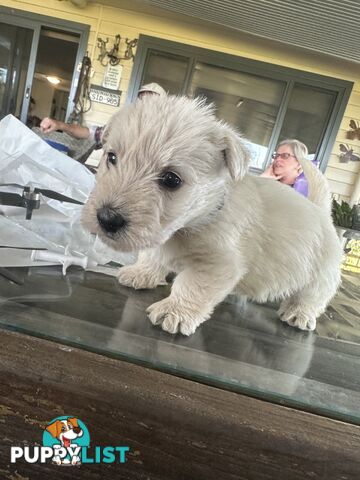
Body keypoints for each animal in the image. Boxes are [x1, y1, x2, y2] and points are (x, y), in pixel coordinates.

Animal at [82, 93, 344, 334]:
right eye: (111, 157)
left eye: (171, 179)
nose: (107, 218)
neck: (197, 219)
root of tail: (321, 210)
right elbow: (152, 255)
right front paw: (141, 273)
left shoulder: (217, 264)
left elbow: (191, 285)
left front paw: (174, 311)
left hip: (321, 274)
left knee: (313, 296)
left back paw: (298, 313)